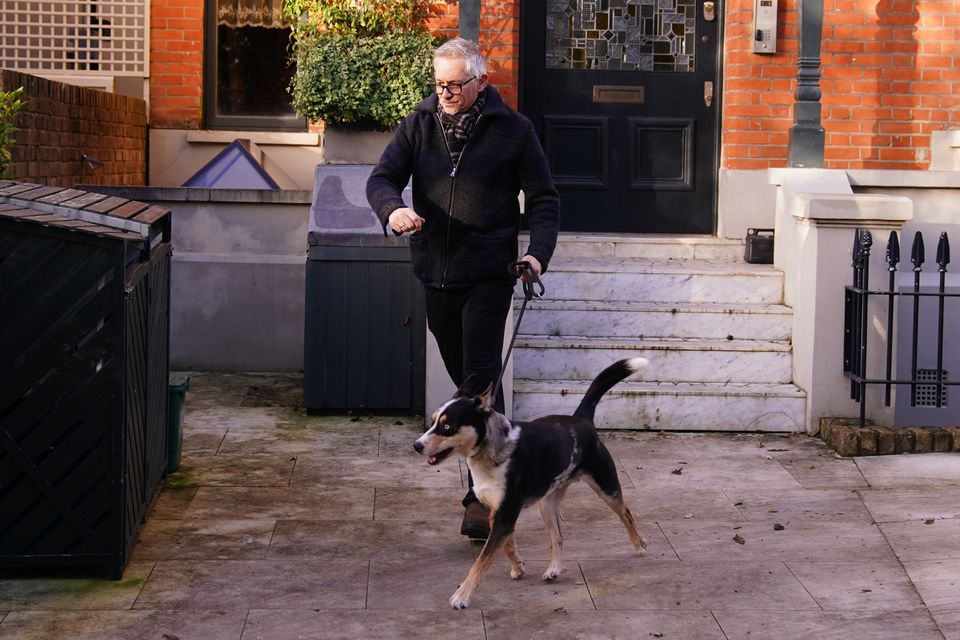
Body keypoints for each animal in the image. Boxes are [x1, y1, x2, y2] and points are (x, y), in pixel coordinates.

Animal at [410, 358, 644, 608]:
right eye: (432, 422)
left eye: (447, 427)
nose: (417, 446)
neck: (493, 450)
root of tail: (581, 418)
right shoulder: (497, 513)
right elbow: (507, 546)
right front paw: (519, 568)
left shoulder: (505, 515)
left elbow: (481, 561)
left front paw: (462, 595)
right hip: (547, 504)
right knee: (558, 538)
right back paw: (553, 569)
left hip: (606, 487)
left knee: (626, 513)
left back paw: (639, 544)